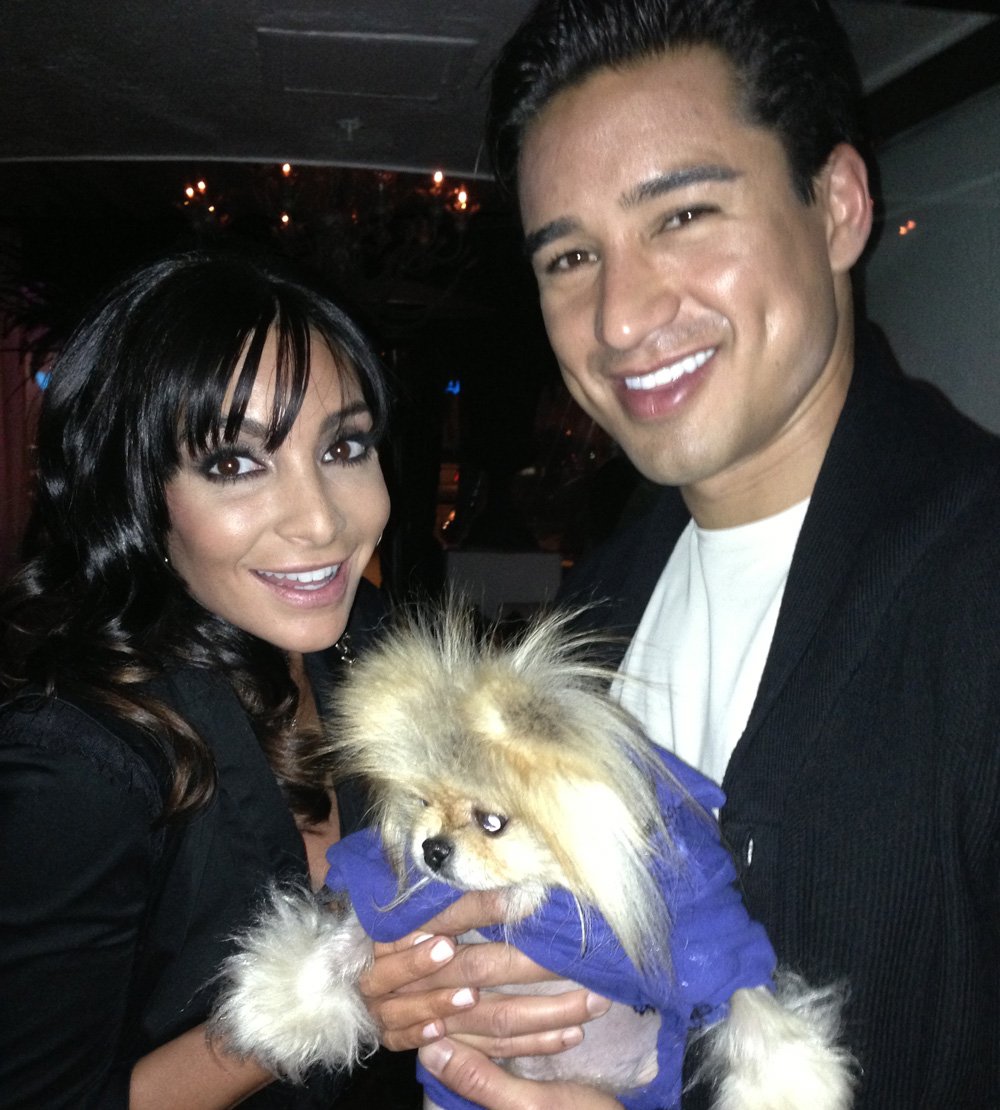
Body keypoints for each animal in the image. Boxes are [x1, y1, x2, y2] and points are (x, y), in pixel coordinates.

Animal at [208, 608, 852, 1110]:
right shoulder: (410, 917)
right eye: (421, 802)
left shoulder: (708, 937)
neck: (539, 902)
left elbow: (752, 1004)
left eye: (492, 823)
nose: (431, 849)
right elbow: (342, 946)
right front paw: (280, 1006)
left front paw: (793, 1084)